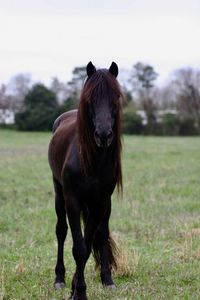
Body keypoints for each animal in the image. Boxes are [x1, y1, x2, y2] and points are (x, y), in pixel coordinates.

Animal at [48, 61, 123, 300]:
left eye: (115, 98)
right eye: (90, 99)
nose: (103, 135)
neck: (92, 160)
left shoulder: (100, 202)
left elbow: (88, 245)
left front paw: (78, 288)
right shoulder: (73, 200)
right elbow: (79, 248)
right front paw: (78, 291)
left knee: (102, 234)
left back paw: (107, 279)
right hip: (59, 193)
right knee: (61, 231)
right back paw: (59, 278)